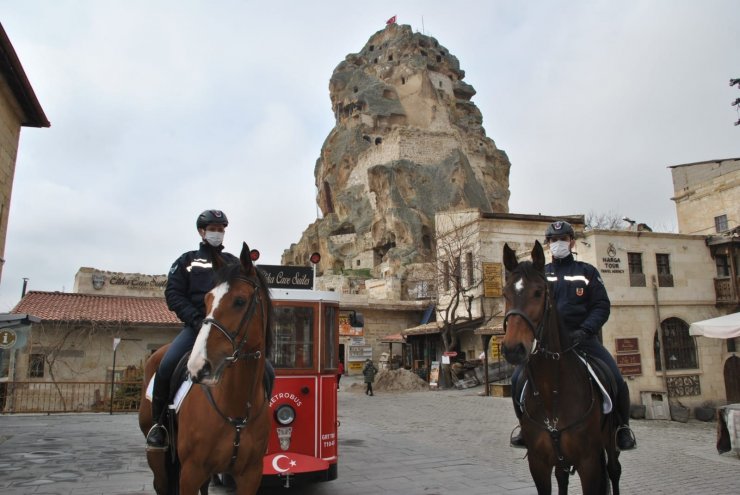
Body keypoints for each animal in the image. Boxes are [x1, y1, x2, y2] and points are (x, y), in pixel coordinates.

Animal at [139, 244, 272, 495]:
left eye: (239, 301)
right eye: (208, 299)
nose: (198, 366)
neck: (235, 407)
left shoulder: (250, 475)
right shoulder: (191, 472)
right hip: (159, 460)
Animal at [502, 243, 620, 495]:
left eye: (539, 292)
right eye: (505, 294)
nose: (513, 348)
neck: (551, 390)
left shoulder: (589, 462)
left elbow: (601, 303)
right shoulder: (538, 463)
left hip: (609, 442)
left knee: (615, 471)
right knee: (562, 477)